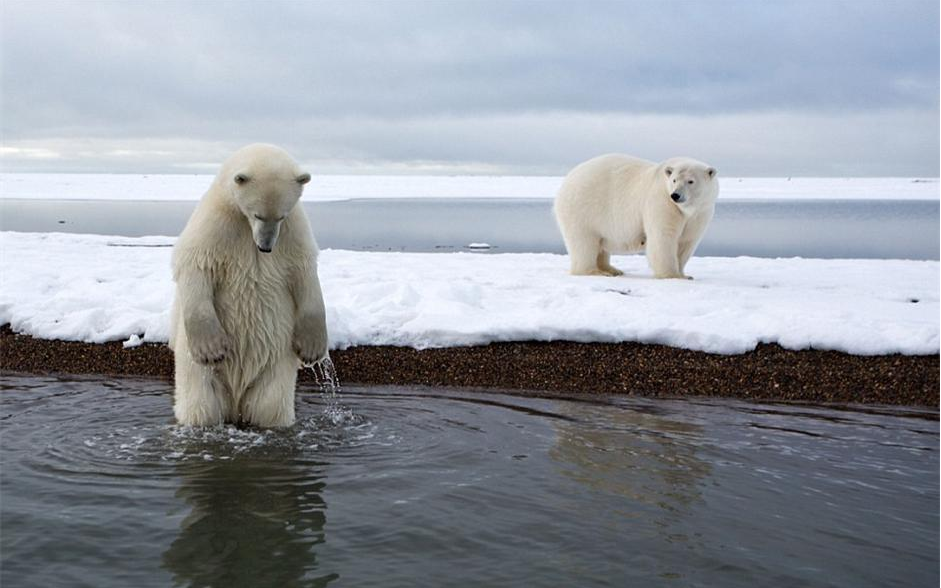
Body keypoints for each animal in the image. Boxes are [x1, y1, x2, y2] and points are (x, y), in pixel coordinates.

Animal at [171, 144, 328, 428]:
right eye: (257, 214)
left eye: (281, 215)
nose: (265, 247)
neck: (243, 222)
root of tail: (235, 405)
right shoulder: (216, 223)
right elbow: (196, 265)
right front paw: (211, 349)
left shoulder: (293, 231)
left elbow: (305, 274)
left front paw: (312, 348)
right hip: (199, 374)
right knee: (201, 406)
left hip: (274, 361)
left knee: (270, 404)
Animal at [556, 154, 716, 278]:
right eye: (674, 180)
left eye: (691, 181)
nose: (675, 195)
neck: (685, 209)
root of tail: (566, 181)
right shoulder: (662, 202)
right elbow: (663, 237)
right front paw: (672, 275)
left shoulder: (700, 213)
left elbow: (687, 241)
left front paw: (684, 274)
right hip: (582, 210)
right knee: (584, 242)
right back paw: (595, 272)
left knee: (600, 244)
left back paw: (612, 269)